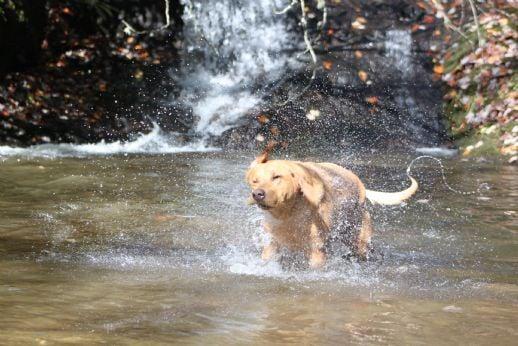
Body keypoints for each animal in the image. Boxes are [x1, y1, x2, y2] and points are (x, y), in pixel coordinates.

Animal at [246, 145, 420, 268]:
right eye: (255, 181)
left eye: (276, 177)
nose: (257, 194)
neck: (289, 213)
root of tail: (360, 184)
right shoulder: (273, 242)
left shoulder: (318, 248)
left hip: (357, 236)